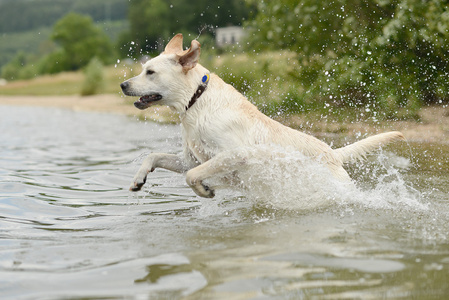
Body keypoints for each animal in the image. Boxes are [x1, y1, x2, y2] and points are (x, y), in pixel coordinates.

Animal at [121, 34, 404, 198]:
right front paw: (138, 179)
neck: (196, 101)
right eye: (143, 69)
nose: (123, 85)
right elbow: (153, 156)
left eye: (150, 72)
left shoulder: (234, 154)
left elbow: (193, 176)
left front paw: (205, 190)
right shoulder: (190, 159)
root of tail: (333, 154)